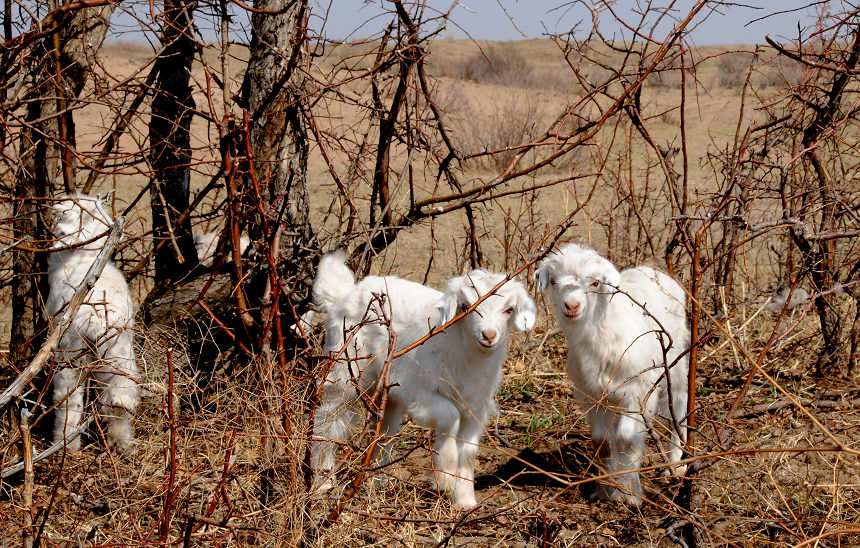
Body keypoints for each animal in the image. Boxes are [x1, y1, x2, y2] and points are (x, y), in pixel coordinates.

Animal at [310, 253, 536, 510]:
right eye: (466, 307)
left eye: (509, 309)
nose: (488, 336)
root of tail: (344, 294)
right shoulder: (418, 392)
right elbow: (450, 416)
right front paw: (445, 476)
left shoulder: (476, 406)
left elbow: (468, 451)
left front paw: (466, 501)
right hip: (346, 368)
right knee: (329, 418)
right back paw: (323, 481)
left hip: (387, 390)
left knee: (385, 429)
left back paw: (378, 479)